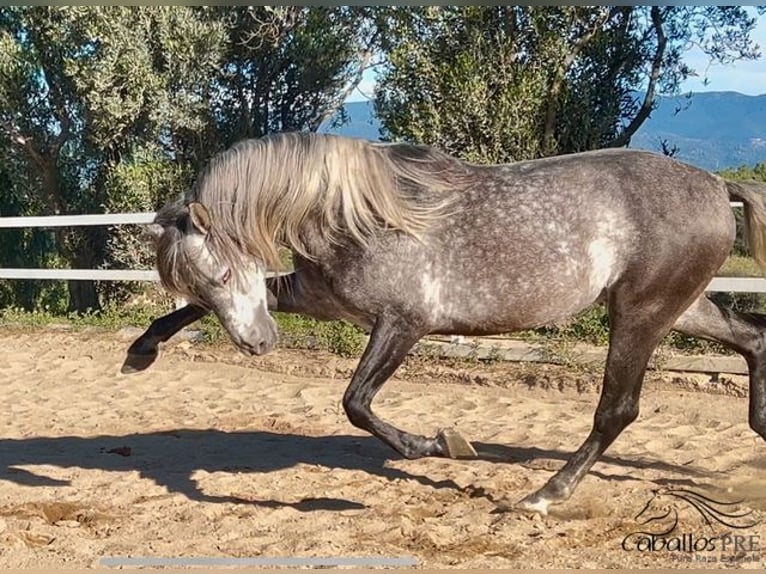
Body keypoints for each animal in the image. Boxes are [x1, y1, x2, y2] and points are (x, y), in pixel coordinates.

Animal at [127, 135, 766, 516]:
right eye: (196, 281)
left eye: (226, 268)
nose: (257, 346)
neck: (356, 214)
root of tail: (716, 185)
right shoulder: (320, 298)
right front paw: (141, 351)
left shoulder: (402, 323)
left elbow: (355, 403)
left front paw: (441, 445)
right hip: (680, 306)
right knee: (753, 338)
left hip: (641, 312)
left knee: (618, 411)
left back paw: (542, 496)